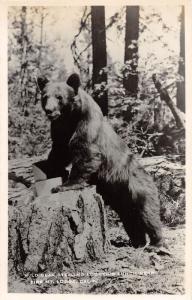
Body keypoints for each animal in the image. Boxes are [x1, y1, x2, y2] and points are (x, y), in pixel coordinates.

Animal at [38, 73, 164, 248]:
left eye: (59, 97)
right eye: (45, 96)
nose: (49, 111)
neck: (70, 118)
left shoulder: (87, 124)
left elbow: (87, 153)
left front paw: (64, 185)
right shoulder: (60, 130)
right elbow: (58, 152)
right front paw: (50, 170)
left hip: (137, 187)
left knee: (148, 213)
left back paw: (156, 243)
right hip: (122, 198)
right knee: (130, 219)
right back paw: (138, 242)